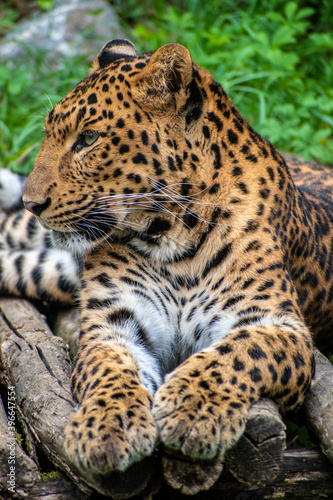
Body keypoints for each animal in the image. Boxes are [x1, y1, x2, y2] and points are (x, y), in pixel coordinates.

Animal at [2, 40, 332, 480]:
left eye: (88, 138)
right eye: (48, 134)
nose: (33, 203)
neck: (175, 236)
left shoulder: (282, 326)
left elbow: (238, 352)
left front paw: (192, 412)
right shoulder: (113, 322)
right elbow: (111, 371)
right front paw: (108, 427)